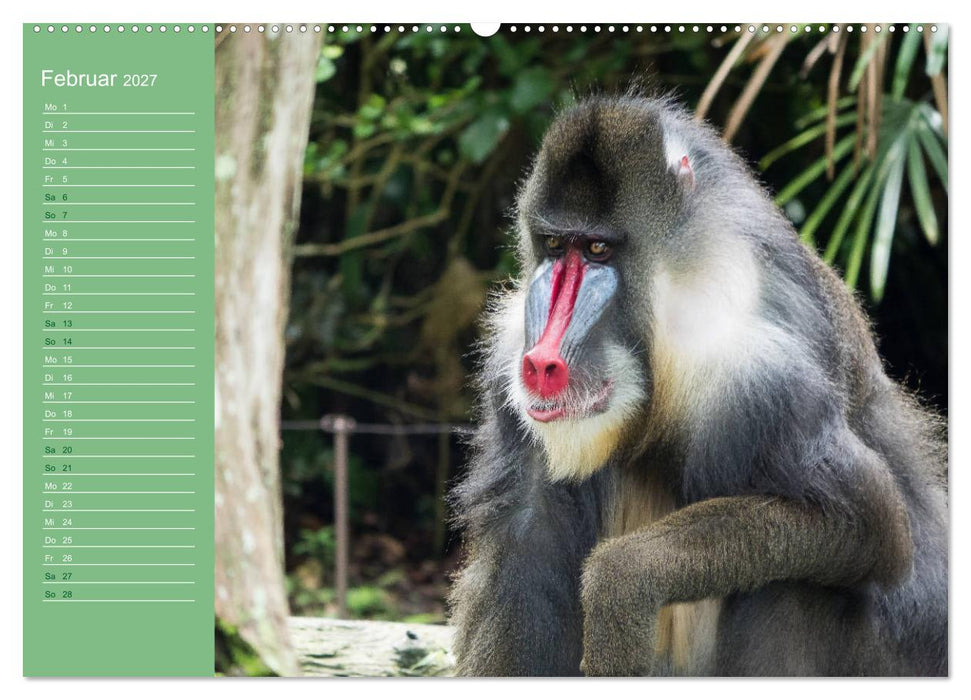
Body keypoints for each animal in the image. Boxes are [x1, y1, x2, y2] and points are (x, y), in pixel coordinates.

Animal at [447, 95, 948, 677]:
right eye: (554, 245)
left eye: (597, 249)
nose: (541, 364)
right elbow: (526, 542)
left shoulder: (756, 375)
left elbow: (870, 520)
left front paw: (620, 589)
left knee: (794, 587)